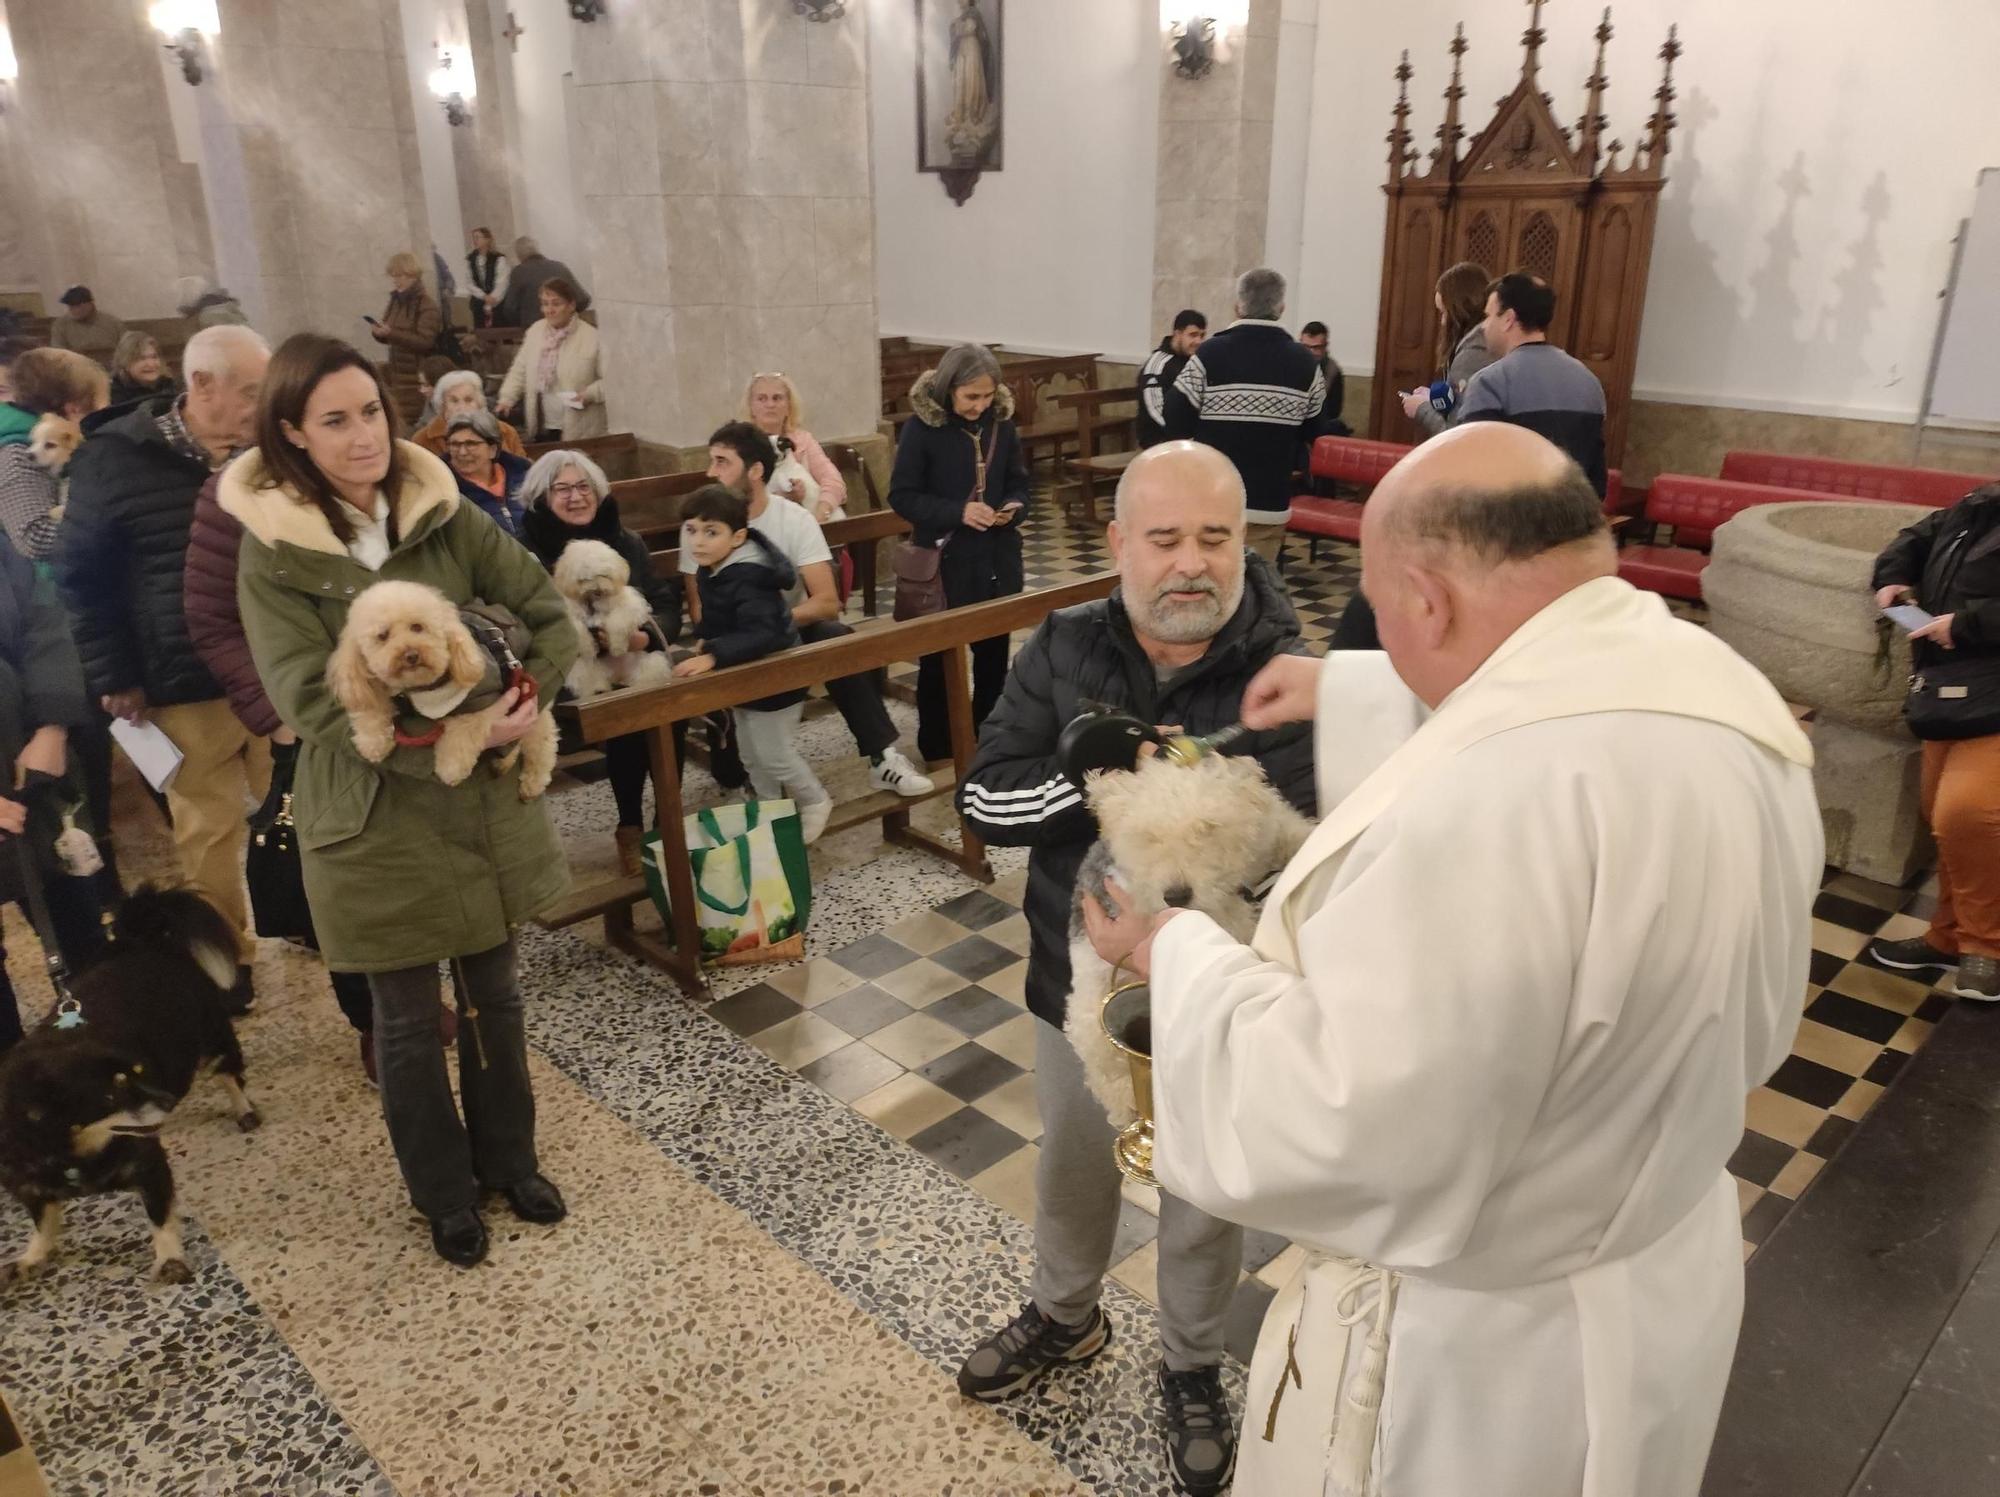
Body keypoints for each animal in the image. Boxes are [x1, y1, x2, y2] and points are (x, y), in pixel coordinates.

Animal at [0, 888, 258, 1288]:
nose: (168, 1099)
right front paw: (32, 1256)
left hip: (210, 1040)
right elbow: (45, 1223)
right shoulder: (28, 1185)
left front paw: (169, 1259)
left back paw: (243, 1109)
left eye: (138, 1073)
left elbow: (159, 1217)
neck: (75, 1151)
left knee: (229, 1075)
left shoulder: (148, 1165)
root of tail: (144, 940)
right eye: (112, 1094)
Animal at [328, 580, 560, 800]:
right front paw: (373, 743)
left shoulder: (479, 700)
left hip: (531, 705)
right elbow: (371, 712)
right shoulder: (373, 687)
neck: (416, 689)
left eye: (417, 627)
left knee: (542, 744)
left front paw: (451, 769)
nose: (411, 655)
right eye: (382, 636)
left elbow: (461, 735)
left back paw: (532, 784)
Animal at [552, 536, 676, 700]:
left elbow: (617, 623)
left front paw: (617, 647)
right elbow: (578, 630)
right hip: (581, 670)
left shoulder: (629, 607)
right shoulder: (568, 614)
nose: (597, 590)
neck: (593, 602)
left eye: (603, 575)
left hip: (650, 661)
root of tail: (618, 676)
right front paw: (588, 648)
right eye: (584, 579)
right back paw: (598, 690)